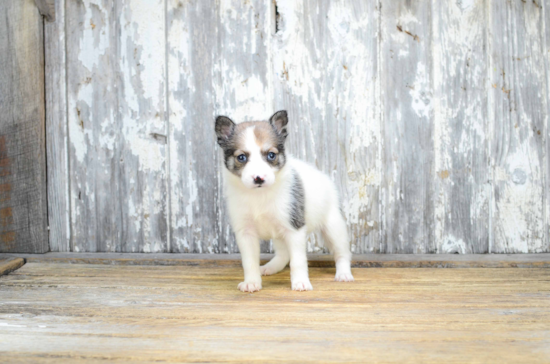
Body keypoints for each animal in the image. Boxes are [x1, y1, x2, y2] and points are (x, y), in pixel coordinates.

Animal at [216, 109, 354, 292]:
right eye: (241, 158)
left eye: (271, 155)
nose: (258, 178)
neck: (260, 195)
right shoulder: (246, 233)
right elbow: (249, 262)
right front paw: (252, 282)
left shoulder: (294, 229)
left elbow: (298, 261)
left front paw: (300, 282)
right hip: (280, 234)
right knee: (283, 254)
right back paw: (271, 267)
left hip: (333, 227)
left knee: (342, 253)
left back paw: (343, 273)